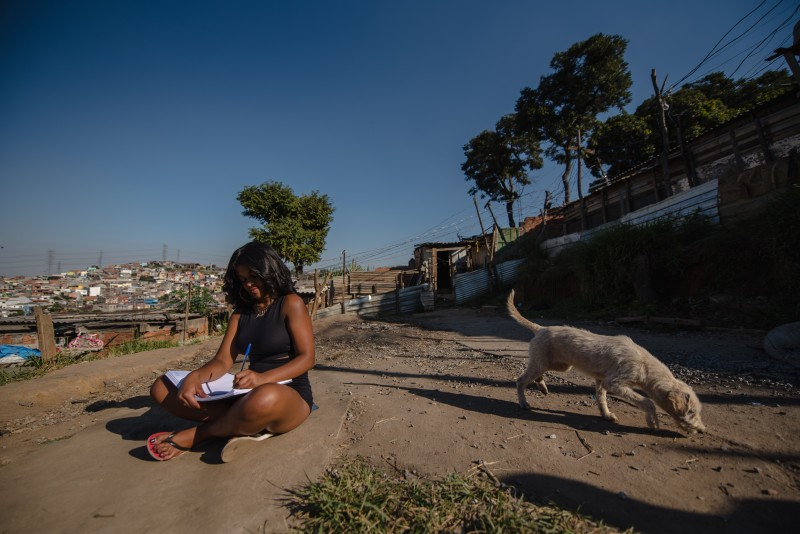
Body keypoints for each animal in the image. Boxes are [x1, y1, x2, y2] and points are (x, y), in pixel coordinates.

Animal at [510, 292, 704, 434]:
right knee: (521, 380)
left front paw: (607, 414)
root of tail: (541, 328)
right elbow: (647, 401)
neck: (645, 365)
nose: (702, 430)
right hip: (543, 363)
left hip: (561, 365)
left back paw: (542, 386)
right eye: (691, 412)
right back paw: (524, 402)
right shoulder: (614, 383)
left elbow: (601, 398)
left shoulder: (601, 380)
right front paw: (653, 422)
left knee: (536, 375)